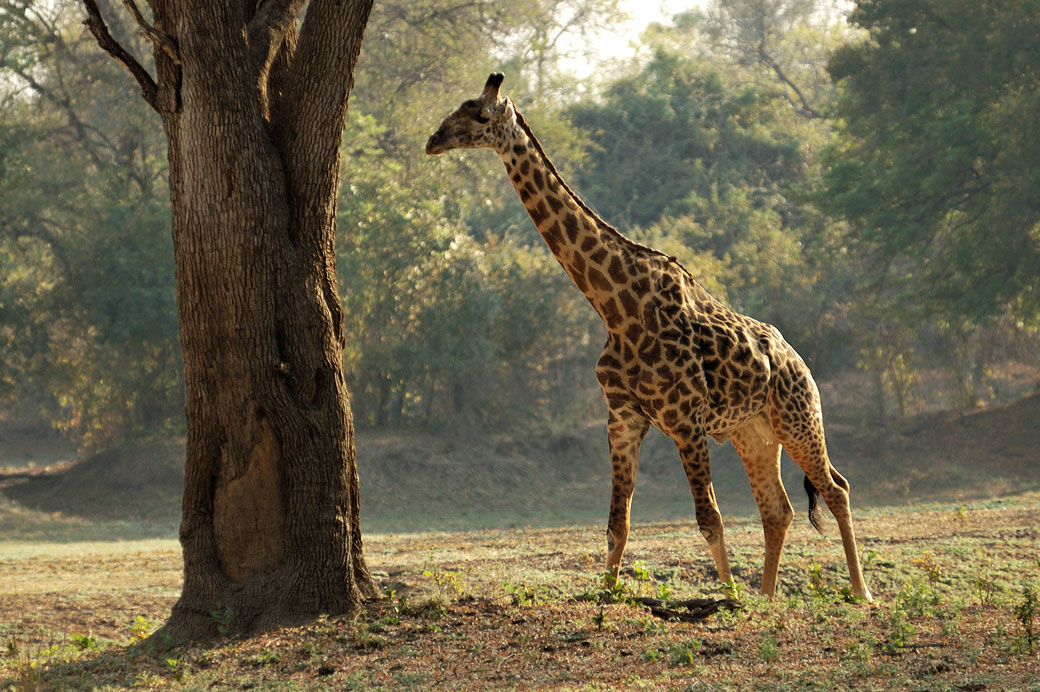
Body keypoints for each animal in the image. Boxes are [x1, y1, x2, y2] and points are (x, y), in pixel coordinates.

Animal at [426, 71, 873, 599]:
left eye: (478, 114)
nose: (433, 140)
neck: (616, 309)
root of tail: (798, 361)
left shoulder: (686, 420)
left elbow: (709, 519)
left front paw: (727, 598)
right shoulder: (622, 418)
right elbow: (617, 523)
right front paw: (607, 595)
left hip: (797, 416)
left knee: (836, 488)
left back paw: (861, 593)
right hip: (753, 432)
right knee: (778, 509)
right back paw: (767, 598)